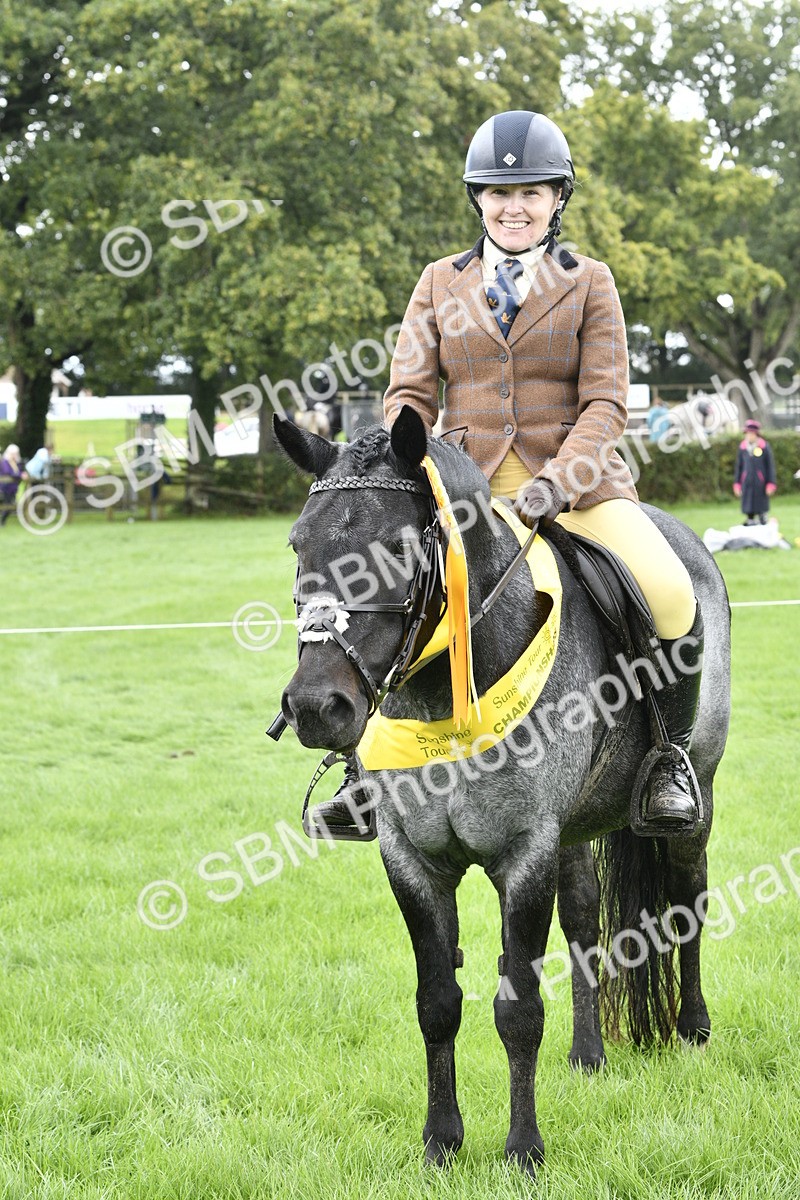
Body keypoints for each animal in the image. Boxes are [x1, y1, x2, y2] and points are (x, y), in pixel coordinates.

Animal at [273, 405, 731, 1175]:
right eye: (298, 544)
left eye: (398, 548)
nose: (316, 707)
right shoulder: (413, 859)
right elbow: (438, 1001)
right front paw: (441, 1141)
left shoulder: (524, 854)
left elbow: (518, 1011)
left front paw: (523, 1149)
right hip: (574, 831)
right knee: (584, 921)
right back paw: (588, 1055)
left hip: (693, 796)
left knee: (686, 899)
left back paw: (693, 1030)